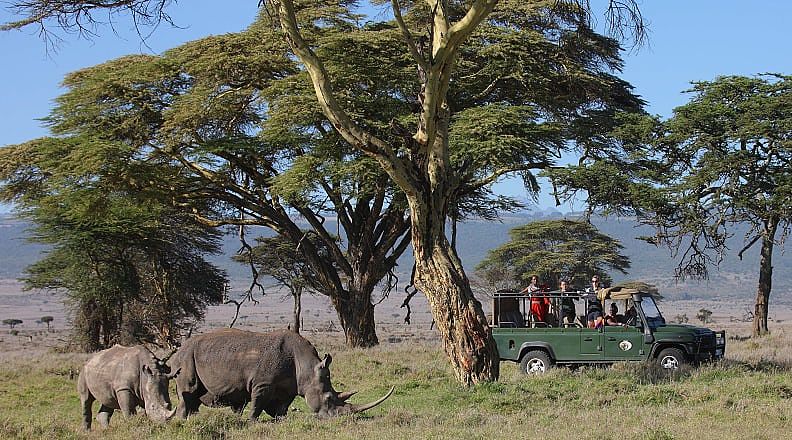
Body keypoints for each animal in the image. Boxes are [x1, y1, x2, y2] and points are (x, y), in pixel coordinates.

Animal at [173, 330, 396, 420]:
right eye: (328, 399)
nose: (339, 419)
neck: (306, 366)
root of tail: (178, 350)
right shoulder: (262, 383)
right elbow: (257, 404)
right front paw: (251, 422)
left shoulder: (289, 386)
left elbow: (280, 407)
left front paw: (280, 420)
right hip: (185, 359)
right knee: (188, 392)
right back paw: (182, 421)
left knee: (194, 398)